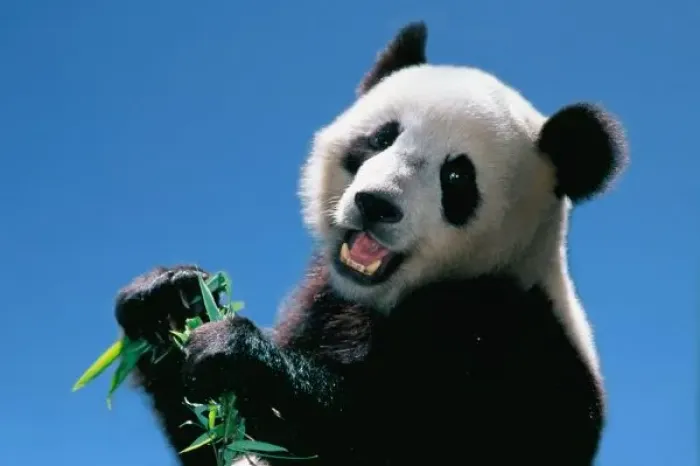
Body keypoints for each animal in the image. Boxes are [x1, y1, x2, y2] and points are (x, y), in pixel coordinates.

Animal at [114, 21, 627, 466]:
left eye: (456, 176)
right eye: (382, 138)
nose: (375, 204)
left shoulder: (511, 346)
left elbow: (382, 438)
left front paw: (234, 353)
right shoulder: (323, 302)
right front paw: (168, 300)